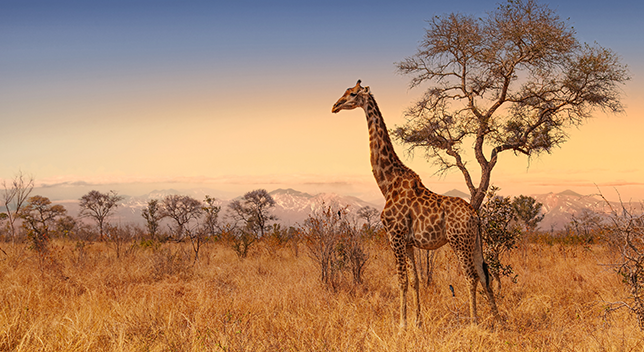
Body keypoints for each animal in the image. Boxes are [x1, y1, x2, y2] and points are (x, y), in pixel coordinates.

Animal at [330, 80, 500, 328]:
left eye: (352, 94)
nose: (335, 106)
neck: (387, 183)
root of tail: (475, 215)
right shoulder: (409, 242)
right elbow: (415, 280)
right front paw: (417, 322)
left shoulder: (395, 236)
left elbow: (401, 280)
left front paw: (402, 324)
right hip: (475, 242)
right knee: (485, 275)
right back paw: (499, 320)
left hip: (459, 241)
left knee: (471, 277)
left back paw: (474, 322)